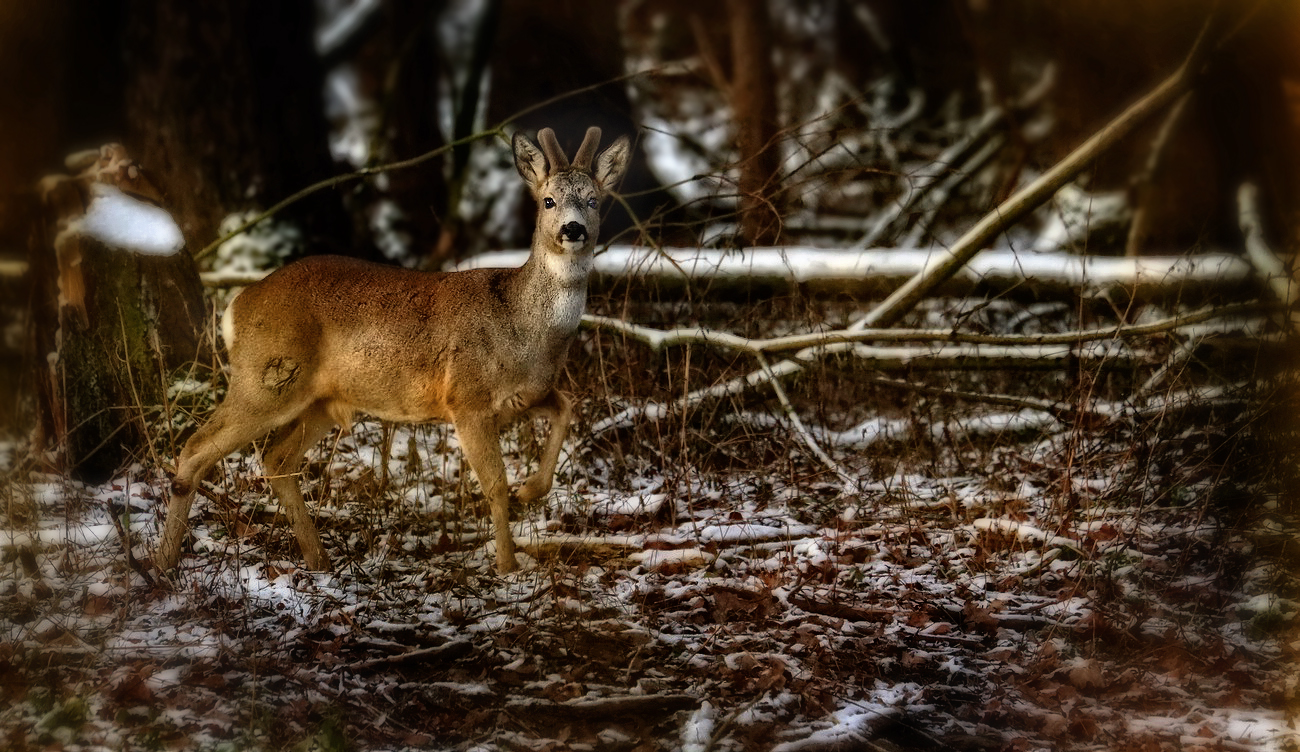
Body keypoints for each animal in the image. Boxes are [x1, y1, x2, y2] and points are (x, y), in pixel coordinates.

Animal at [154, 127, 631, 572]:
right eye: (548, 201)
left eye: (593, 200)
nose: (573, 229)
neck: (521, 325)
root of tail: (236, 307)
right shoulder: (467, 398)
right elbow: (494, 484)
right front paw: (508, 565)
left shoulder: (530, 393)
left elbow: (568, 406)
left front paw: (531, 489)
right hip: (266, 378)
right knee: (195, 449)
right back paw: (163, 563)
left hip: (321, 400)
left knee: (276, 458)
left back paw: (318, 560)